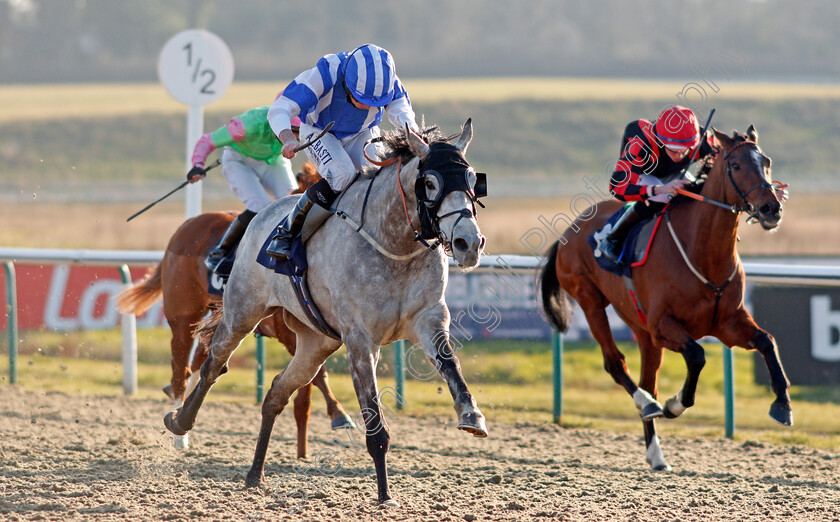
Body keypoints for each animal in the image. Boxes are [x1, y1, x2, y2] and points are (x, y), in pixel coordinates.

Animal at [118, 161, 354, 450]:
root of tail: (185, 226)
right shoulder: (289, 331)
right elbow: (317, 375)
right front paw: (339, 414)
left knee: (199, 362)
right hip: (183, 314)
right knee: (180, 366)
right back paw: (179, 435)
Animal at [165, 119, 488, 504]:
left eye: (472, 179)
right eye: (430, 183)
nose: (469, 243)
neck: (395, 246)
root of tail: (262, 216)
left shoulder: (429, 318)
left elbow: (449, 363)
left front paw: (471, 415)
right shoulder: (360, 340)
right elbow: (374, 421)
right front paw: (384, 494)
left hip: (315, 342)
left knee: (276, 392)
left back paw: (255, 474)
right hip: (241, 311)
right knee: (212, 364)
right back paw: (179, 422)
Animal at [540, 127, 792, 472]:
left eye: (766, 161)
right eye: (737, 165)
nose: (771, 209)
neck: (703, 253)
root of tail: (569, 231)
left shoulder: (729, 324)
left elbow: (767, 341)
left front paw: (782, 405)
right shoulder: (663, 326)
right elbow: (697, 355)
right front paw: (674, 405)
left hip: (642, 330)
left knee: (648, 379)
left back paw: (656, 454)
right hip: (591, 301)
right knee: (616, 364)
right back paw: (648, 404)